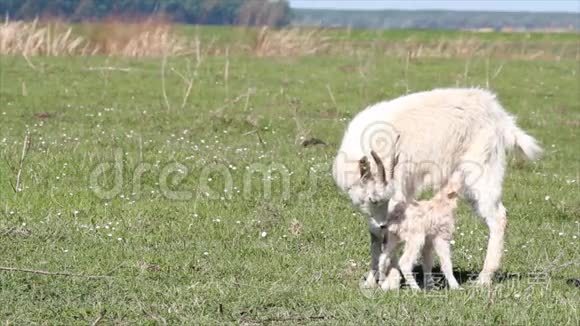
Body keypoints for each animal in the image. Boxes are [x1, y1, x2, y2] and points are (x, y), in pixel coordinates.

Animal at [360, 150, 460, 290]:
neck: (442, 203)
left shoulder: (428, 241)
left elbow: (427, 263)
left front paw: (430, 286)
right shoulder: (441, 237)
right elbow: (446, 263)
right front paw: (456, 287)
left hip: (394, 237)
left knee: (383, 257)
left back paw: (382, 281)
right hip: (415, 238)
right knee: (404, 262)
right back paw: (416, 289)